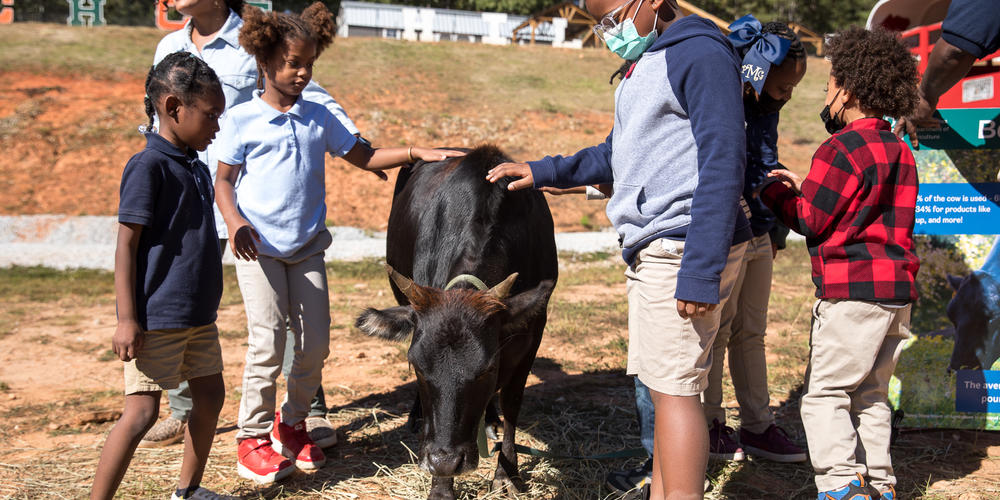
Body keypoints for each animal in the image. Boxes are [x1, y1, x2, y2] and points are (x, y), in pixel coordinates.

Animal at [352, 146, 560, 500]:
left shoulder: (532, 334)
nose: (444, 461)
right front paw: (440, 487)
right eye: (416, 366)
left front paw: (506, 473)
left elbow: (512, 401)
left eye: (488, 368)